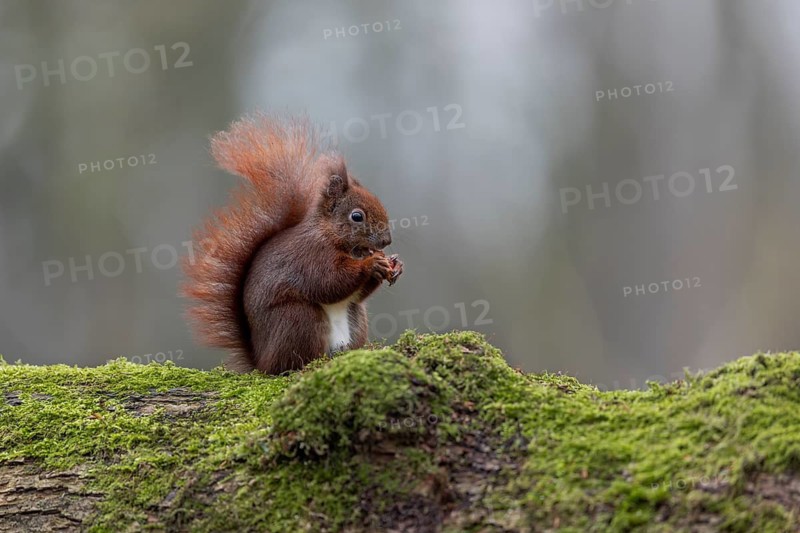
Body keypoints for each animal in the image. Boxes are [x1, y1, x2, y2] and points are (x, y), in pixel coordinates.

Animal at [181, 113, 404, 374]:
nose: (387, 241)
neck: (333, 237)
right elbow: (328, 282)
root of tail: (261, 360)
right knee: (290, 362)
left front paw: (395, 265)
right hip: (299, 319)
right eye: (357, 216)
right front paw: (371, 264)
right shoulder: (311, 255)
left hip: (356, 319)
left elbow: (357, 294)